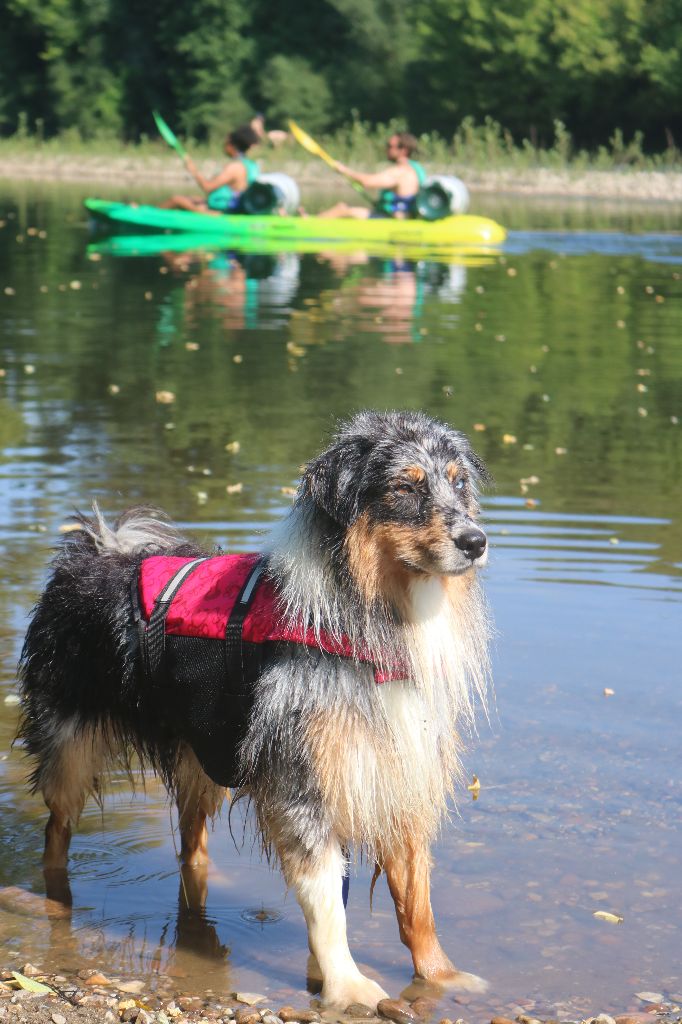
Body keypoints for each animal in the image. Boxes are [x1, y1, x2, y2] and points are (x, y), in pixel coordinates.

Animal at [18, 407, 491, 1007]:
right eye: (405, 487)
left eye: (459, 483)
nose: (476, 541)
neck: (372, 620)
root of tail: (97, 549)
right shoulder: (301, 782)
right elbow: (326, 902)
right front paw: (348, 985)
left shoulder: (402, 769)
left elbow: (417, 901)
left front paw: (442, 977)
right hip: (70, 744)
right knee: (56, 829)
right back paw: (54, 902)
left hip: (203, 755)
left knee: (191, 839)